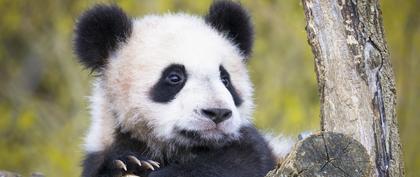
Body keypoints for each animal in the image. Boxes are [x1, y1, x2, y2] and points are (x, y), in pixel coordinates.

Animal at [74, 0, 294, 176]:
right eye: (174, 77)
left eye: (225, 79)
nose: (217, 113)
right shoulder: (102, 148)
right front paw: (129, 164)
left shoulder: (253, 148)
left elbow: (236, 162)